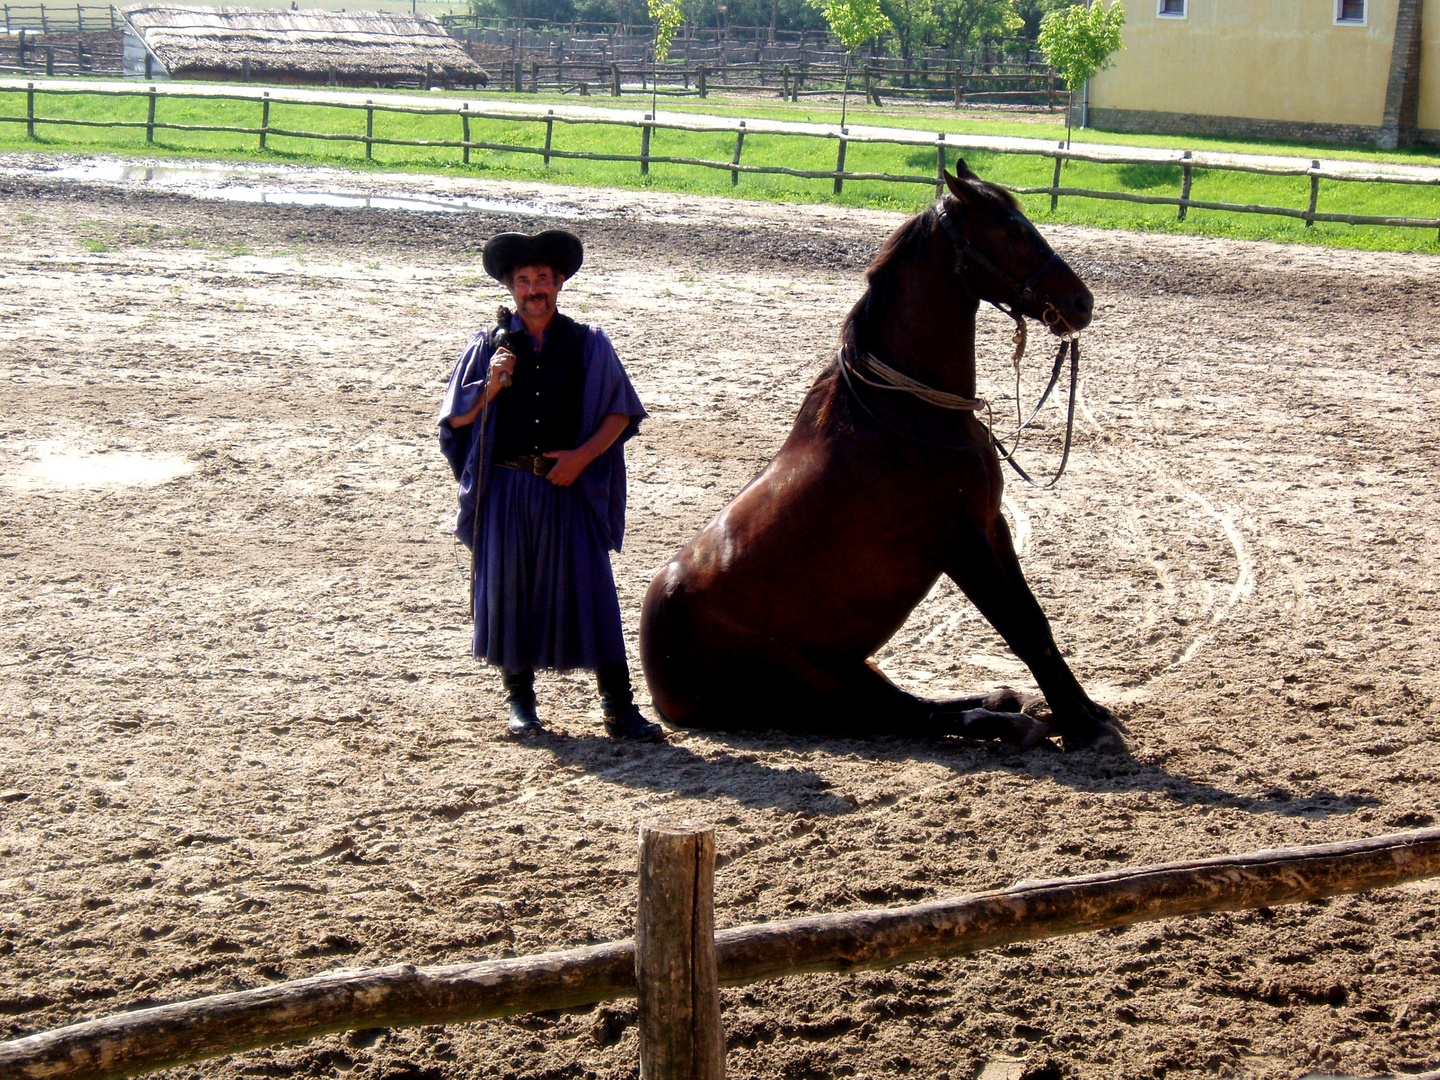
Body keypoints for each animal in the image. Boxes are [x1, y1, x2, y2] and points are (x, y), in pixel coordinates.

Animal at [642, 162, 1123, 754]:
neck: (910, 411)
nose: (1081, 303)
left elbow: (1037, 620)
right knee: (899, 716)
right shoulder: (960, 542)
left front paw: (1086, 710)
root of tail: (657, 681)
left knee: (905, 702)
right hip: (802, 681)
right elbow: (1022, 628)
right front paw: (1084, 726)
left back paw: (1002, 702)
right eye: (1011, 229)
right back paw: (1003, 720)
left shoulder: (992, 526)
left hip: (849, 666)